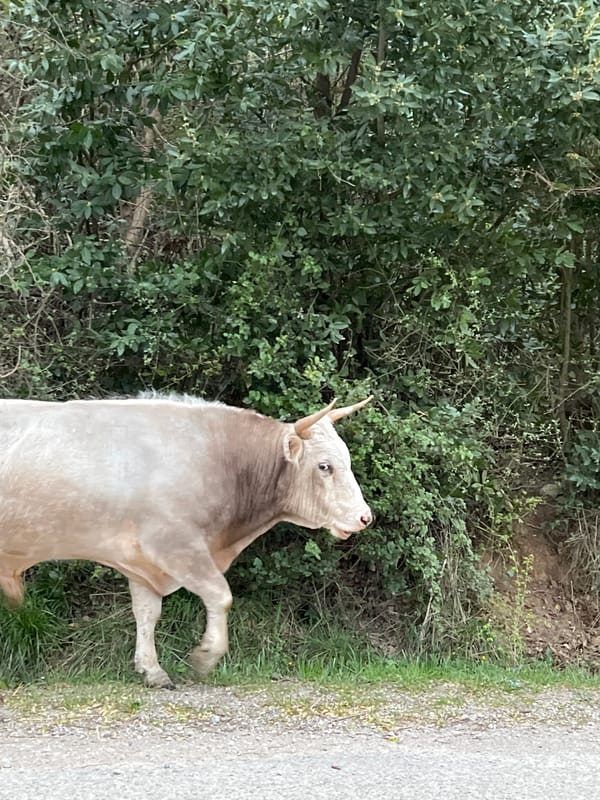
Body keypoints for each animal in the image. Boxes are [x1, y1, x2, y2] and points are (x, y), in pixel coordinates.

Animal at [0, 393, 373, 687]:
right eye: (325, 466)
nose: (365, 516)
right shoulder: (174, 546)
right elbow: (221, 595)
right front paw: (206, 656)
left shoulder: (140, 560)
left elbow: (147, 613)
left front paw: (152, 670)